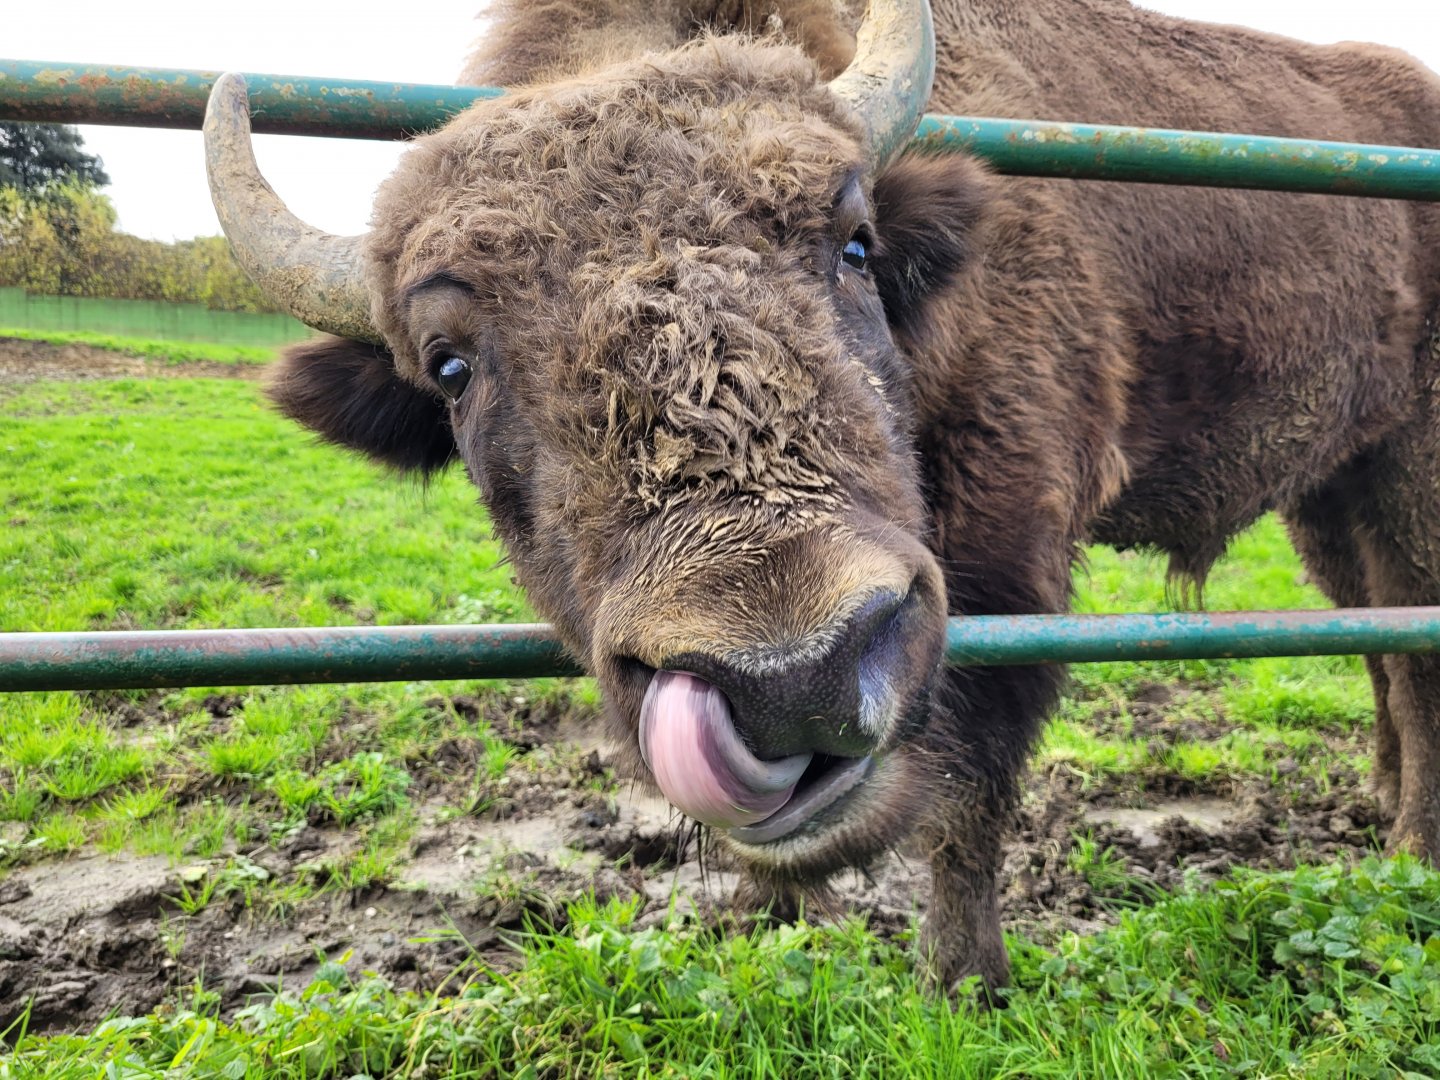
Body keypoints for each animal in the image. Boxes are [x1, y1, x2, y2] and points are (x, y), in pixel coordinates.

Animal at [202, 0, 1440, 989]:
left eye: (854, 243)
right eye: (450, 363)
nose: (791, 678)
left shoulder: (1006, 559)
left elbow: (967, 786)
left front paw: (962, 978)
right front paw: (772, 919)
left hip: (1407, 471)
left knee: (1414, 652)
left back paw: (1410, 853)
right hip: (1329, 494)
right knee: (1374, 637)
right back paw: (1378, 803)